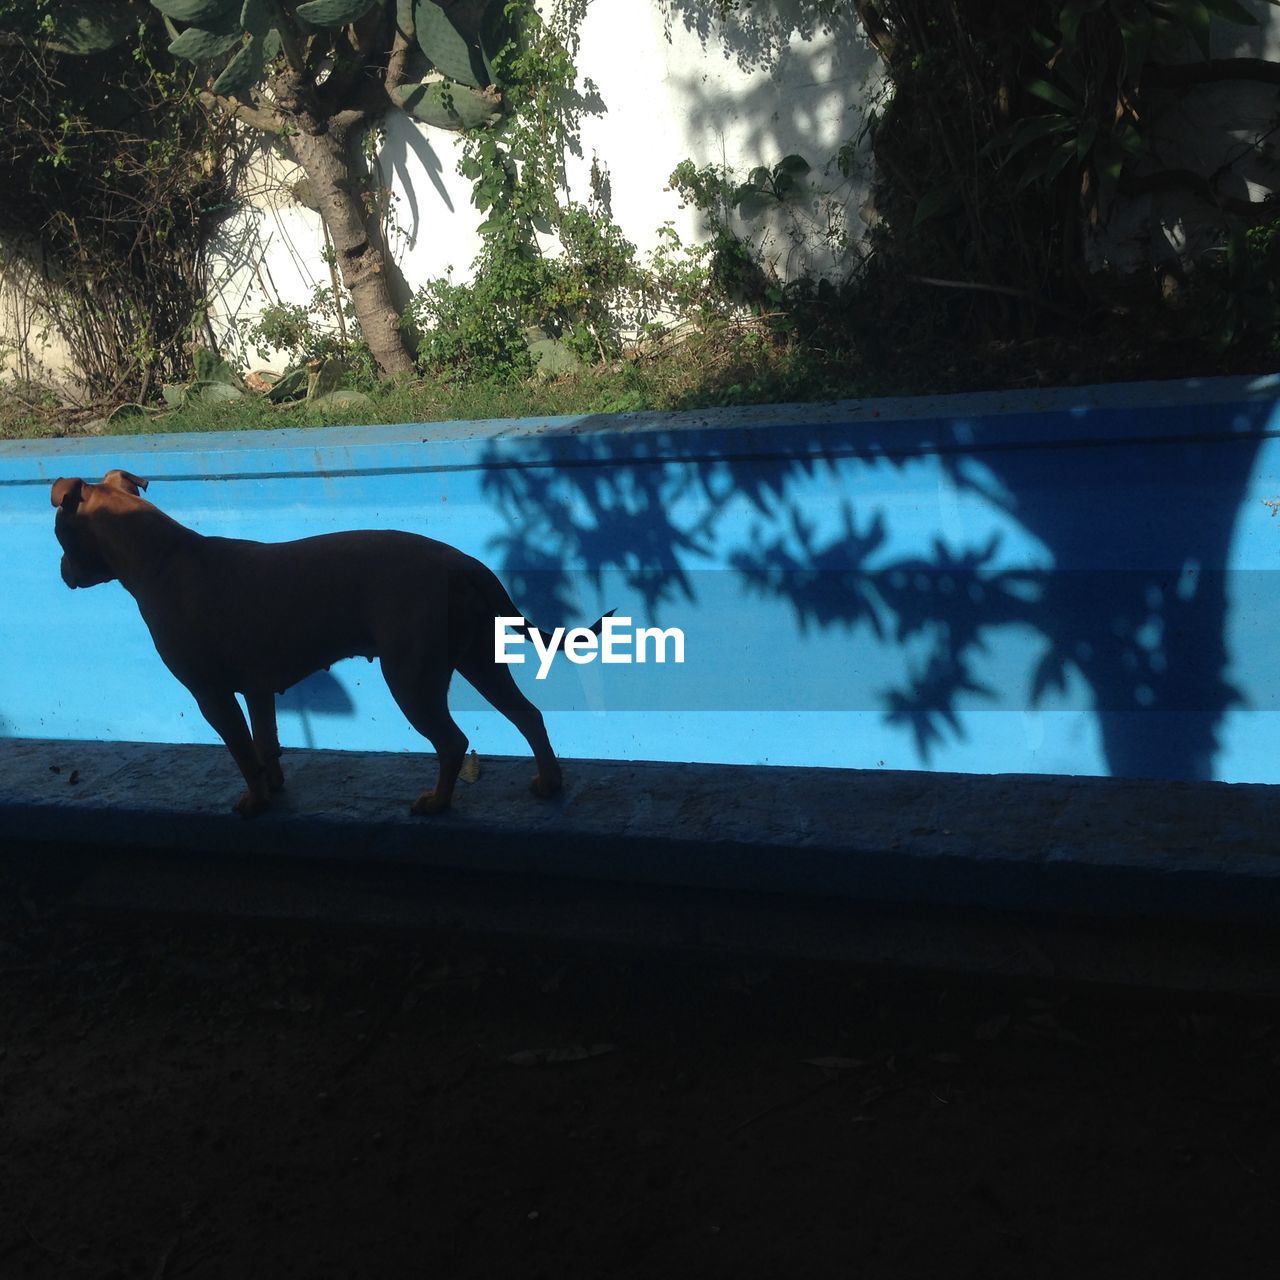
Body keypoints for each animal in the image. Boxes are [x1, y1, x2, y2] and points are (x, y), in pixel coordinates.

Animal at [49, 471, 588, 819]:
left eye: (59, 535)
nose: (61, 571)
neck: (161, 554)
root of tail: (462, 563)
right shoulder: (257, 689)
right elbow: (265, 743)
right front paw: (274, 785)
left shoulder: (212, 695)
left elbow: (242, 750)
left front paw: (256, 802)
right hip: (479, 660)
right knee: (528, 715)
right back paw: (549, 782)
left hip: (411, 678)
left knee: (453, 742)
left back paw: (438, 803)